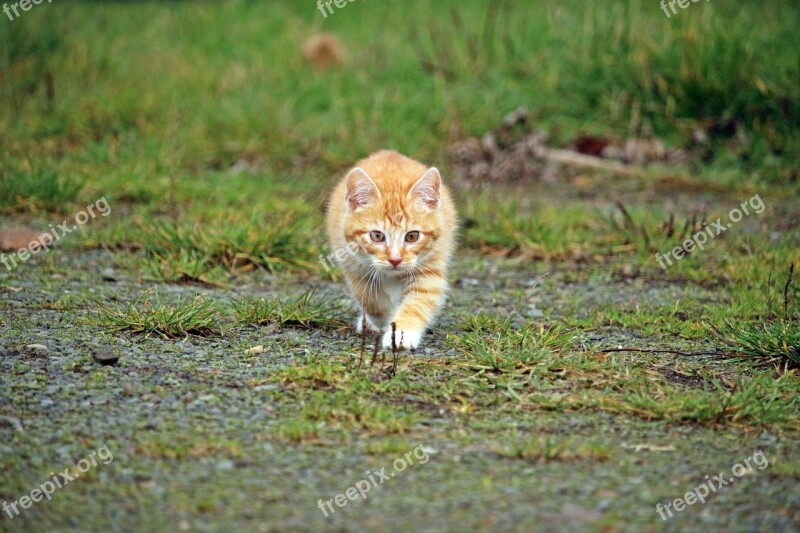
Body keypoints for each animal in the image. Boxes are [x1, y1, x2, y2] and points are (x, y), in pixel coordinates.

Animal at [324, 150, 456, 350]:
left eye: (412, 236)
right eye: (377, 236)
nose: (395, 259)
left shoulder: (430, 268)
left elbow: (417, 303)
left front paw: (402, 333)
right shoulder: (352, 264)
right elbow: (369, 298)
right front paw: (383, 319)